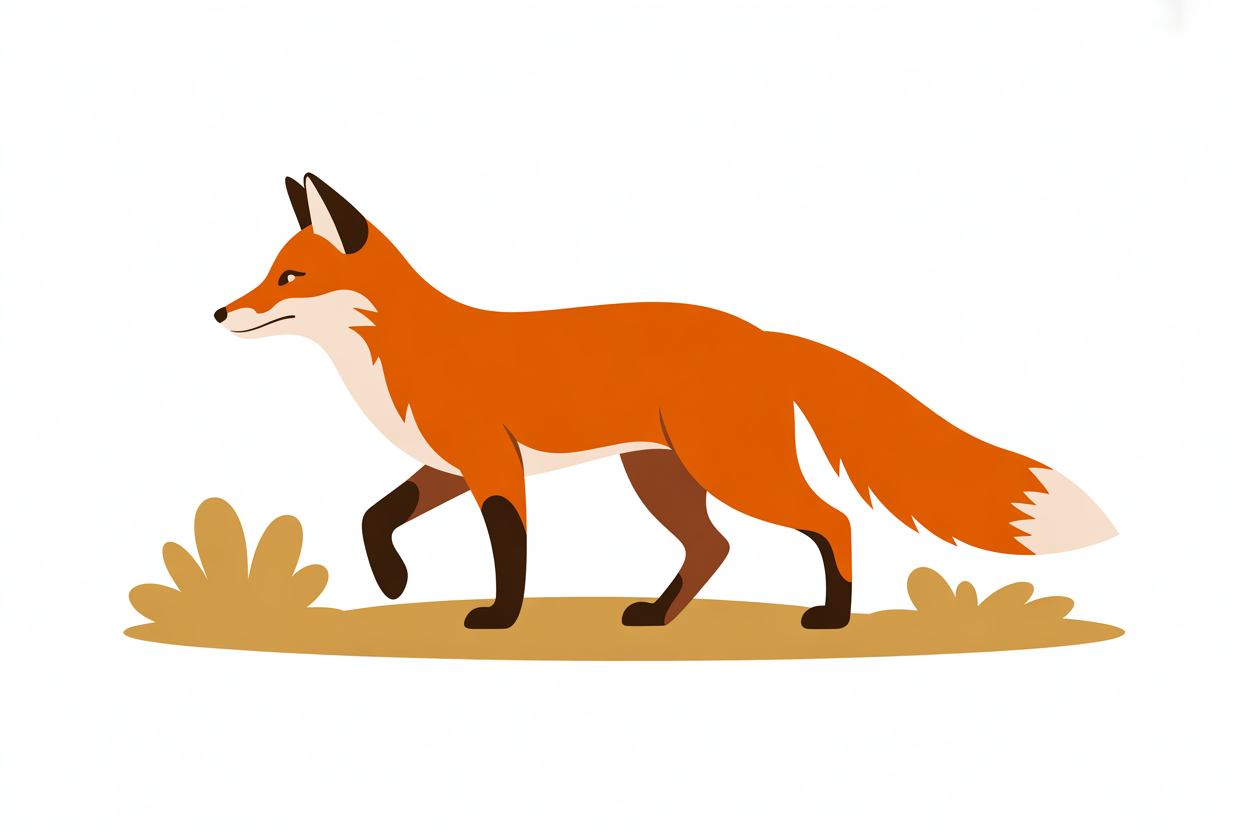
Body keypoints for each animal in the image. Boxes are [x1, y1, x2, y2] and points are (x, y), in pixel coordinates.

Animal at [216, 173, 1117, 630]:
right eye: (269, 271)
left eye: (291, 276)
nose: (221, 313)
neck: (403, 348)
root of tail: (760, 335)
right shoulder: (449, 466)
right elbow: (375, 517)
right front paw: (393, 582)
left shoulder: (492, 466)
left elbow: (510, 552)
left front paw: (498, 618)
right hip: (664, 478)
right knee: (714, 548)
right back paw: (657, 616)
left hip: (731, 472)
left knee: (832, 523)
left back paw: (831, 618)